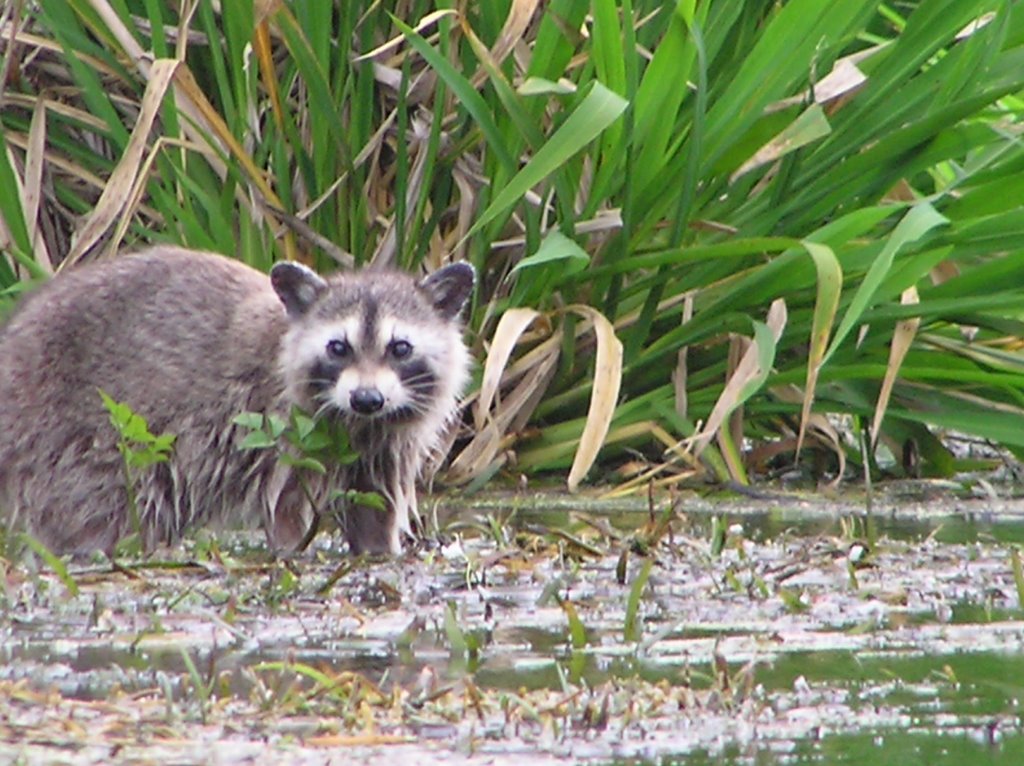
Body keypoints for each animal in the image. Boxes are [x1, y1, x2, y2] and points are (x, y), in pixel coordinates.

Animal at [0, 248, 473, 552]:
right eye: (338, 347)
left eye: (400, 348)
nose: (367, 398)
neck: (355, 423)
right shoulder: (281, 432)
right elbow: (284, 507)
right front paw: (289, 553)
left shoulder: (386, 442)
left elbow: (375, 502)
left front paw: (381, 550)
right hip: (73, 442)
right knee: (101, 507)